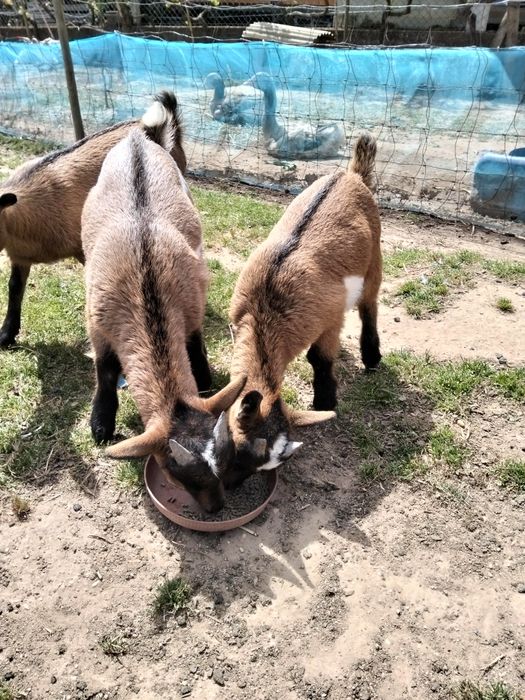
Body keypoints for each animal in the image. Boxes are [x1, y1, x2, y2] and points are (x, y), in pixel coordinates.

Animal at [81, 96, 246, 513]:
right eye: (177, 474)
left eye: (227, 459)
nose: (217, 508)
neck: (147, 288)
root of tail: (142, 140)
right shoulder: (97, 322)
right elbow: (105, 370)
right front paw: (101, 424)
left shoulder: (192, 304)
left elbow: (195, 343)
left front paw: (204, 379)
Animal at [222, 134, 382, 487]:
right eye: (234, 445)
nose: (230, 487)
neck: (266, 309)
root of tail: (352, 174)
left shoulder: (331, 316)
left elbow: (319, 358)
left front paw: (325, 400)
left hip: (374, 259)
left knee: (369, 306)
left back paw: (372, 357)